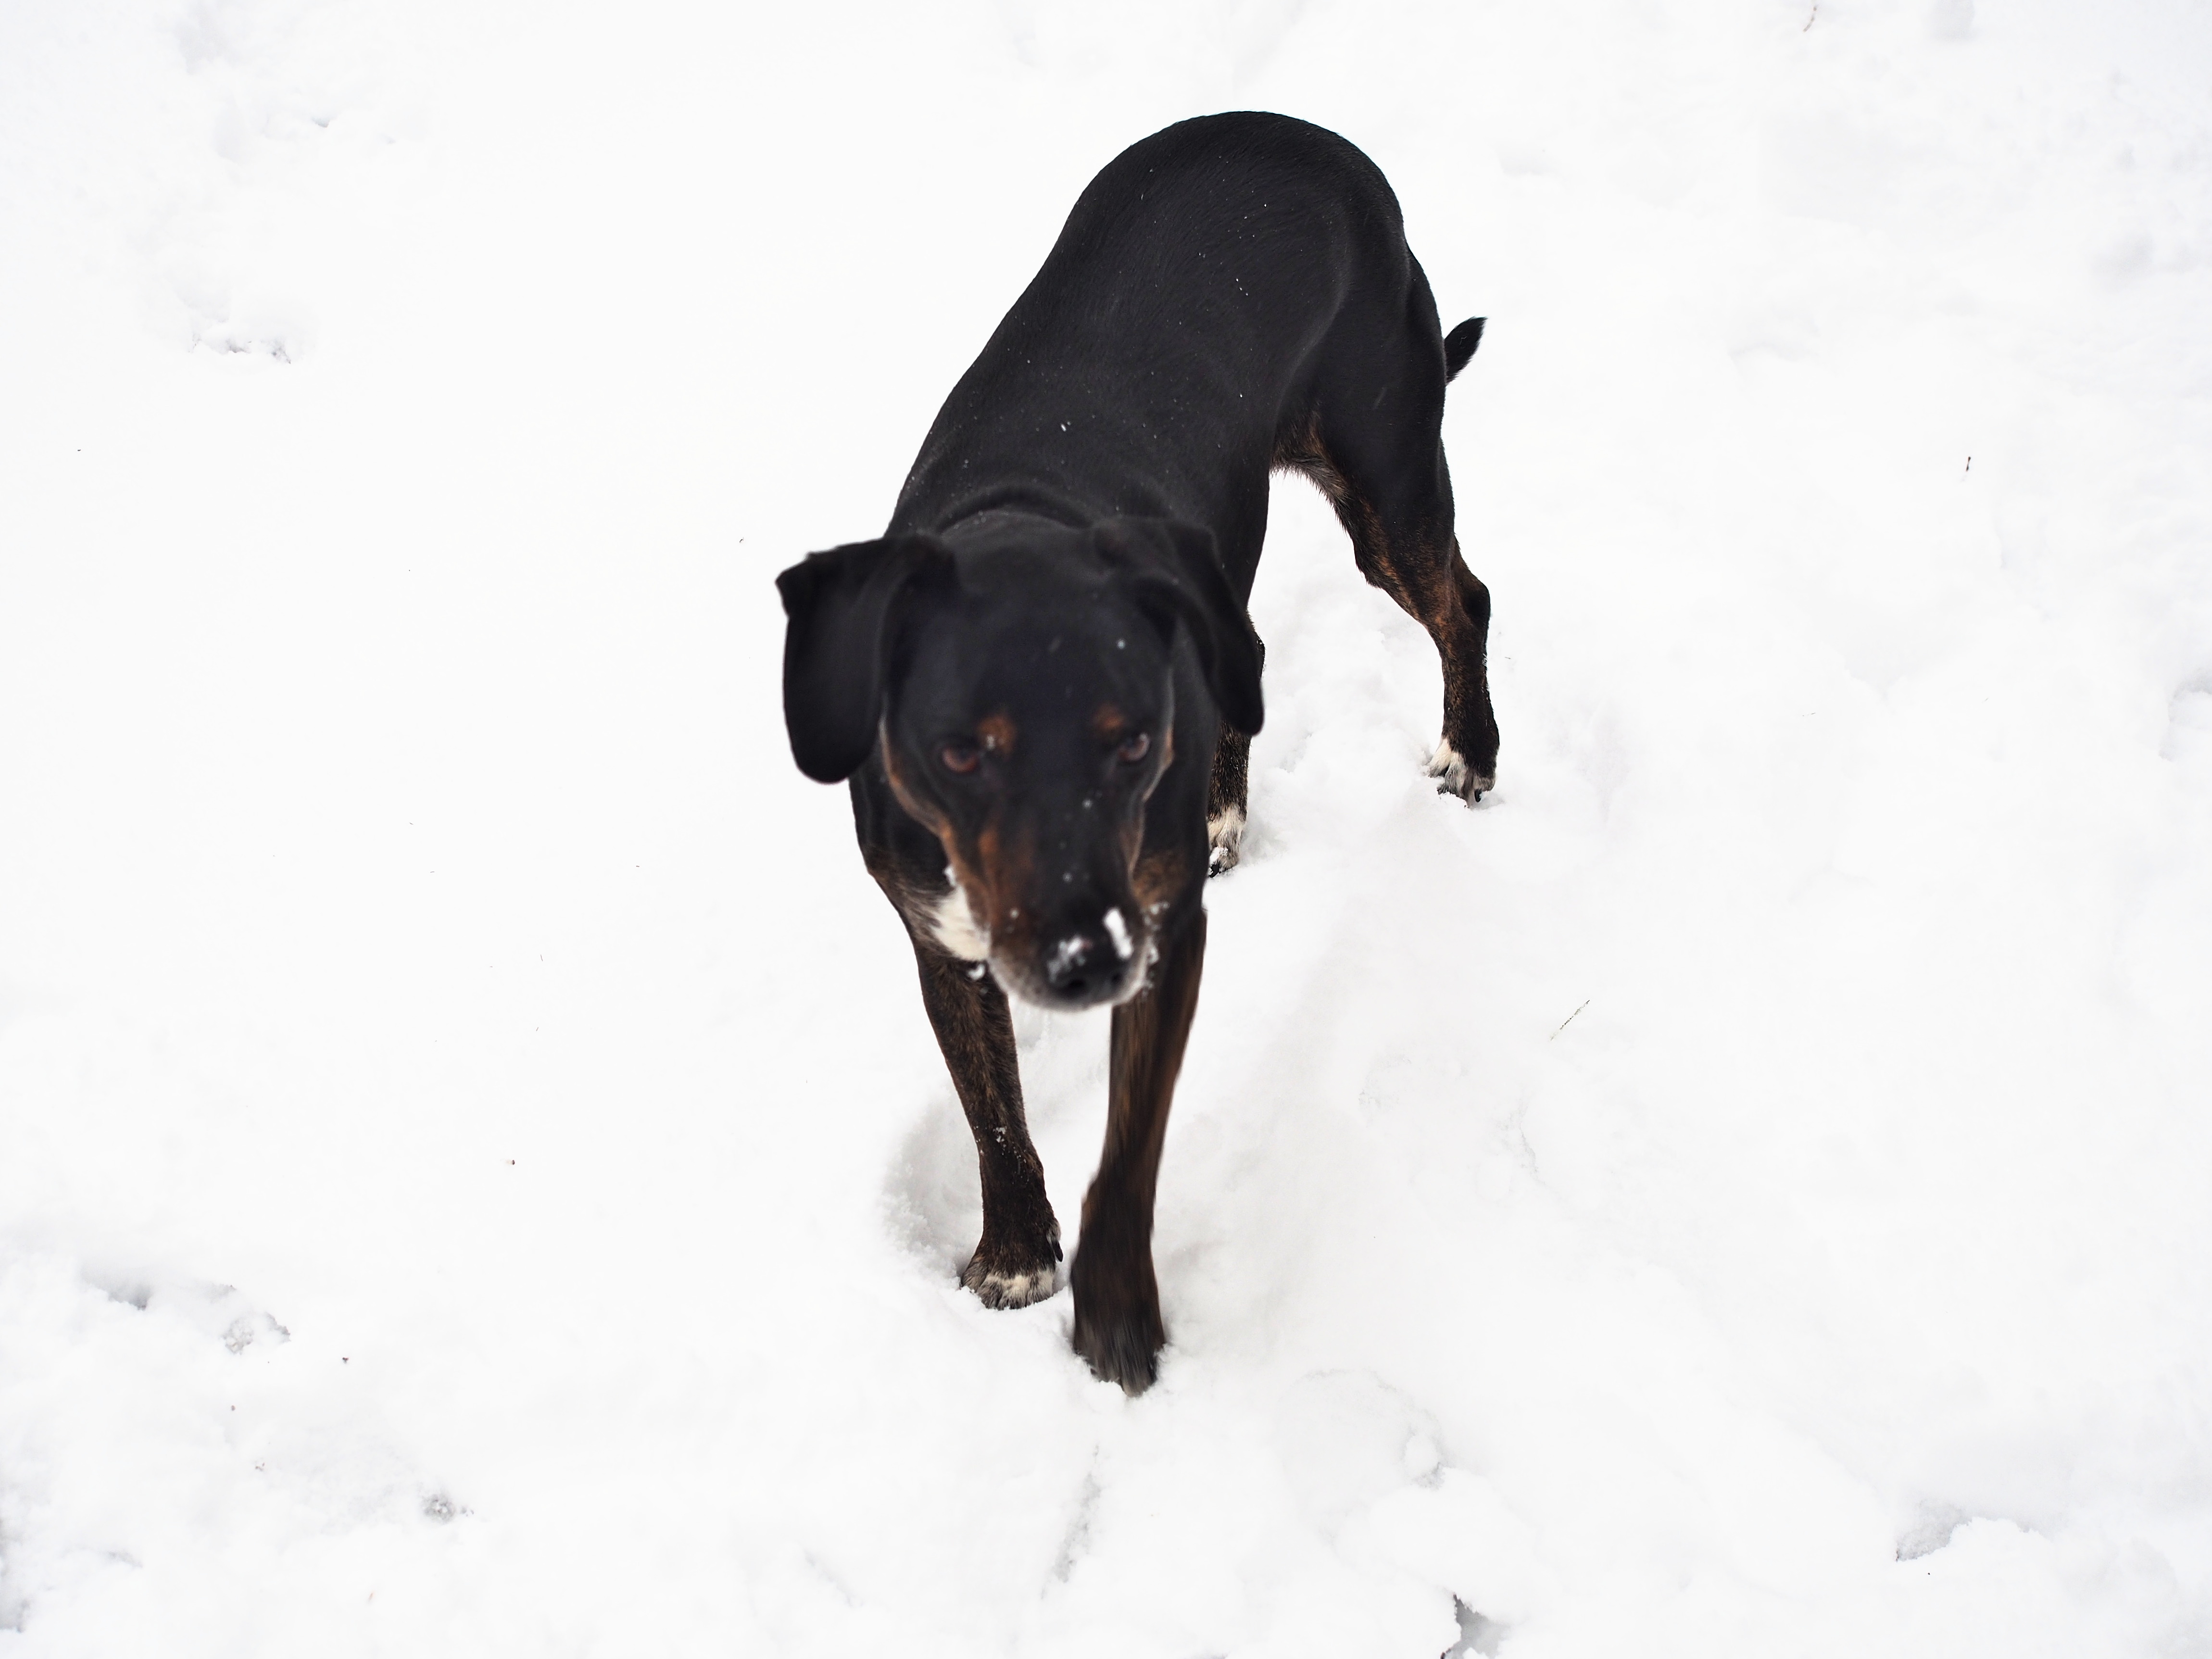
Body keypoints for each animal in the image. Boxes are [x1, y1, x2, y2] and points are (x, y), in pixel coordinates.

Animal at [777, 111, 1496, 1393]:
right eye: (960, 753)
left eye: (1133, 744)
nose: (1081, 962)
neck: (1018, 513)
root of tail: (1311, 137)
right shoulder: (939, 931)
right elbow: (991, 1109)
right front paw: (1016, 1253)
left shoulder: (1162, 939)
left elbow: (1130, 1142)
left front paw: (1116, 1317)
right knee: (1254, 662)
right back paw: (1227, 811)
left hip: (1386, 474)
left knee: (1462, 596)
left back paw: (1471, 752)